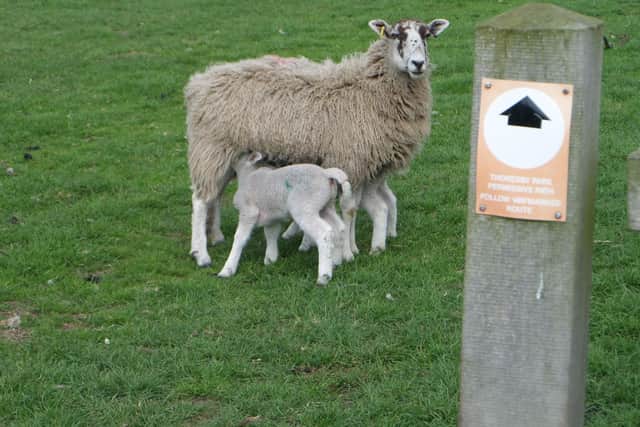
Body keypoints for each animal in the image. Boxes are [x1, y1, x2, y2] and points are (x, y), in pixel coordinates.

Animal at [186, 17, 450, 267]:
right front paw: (349, 251)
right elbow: (349, 209)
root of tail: (200, 82)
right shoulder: (349, 160)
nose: (418, 64)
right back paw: (201, 253)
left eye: (427, 35)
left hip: (227, 154)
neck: (369, 88)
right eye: (396, 35)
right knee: (200, 200)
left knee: (216, 194)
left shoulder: (368, 164)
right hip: (210, 148)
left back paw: (216, 236)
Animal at [217, 152, 351, 285]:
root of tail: (326, 174)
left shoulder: (248, 212)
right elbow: (271, 235)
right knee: (339, 228)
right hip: (326, 207)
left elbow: (239, 238)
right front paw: (270, 259)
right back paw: (336, 262)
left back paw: (324, 276)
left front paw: (227, 269)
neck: (247, 176)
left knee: (324, 233)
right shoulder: (271, 218)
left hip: (305, 207)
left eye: (239, 155)